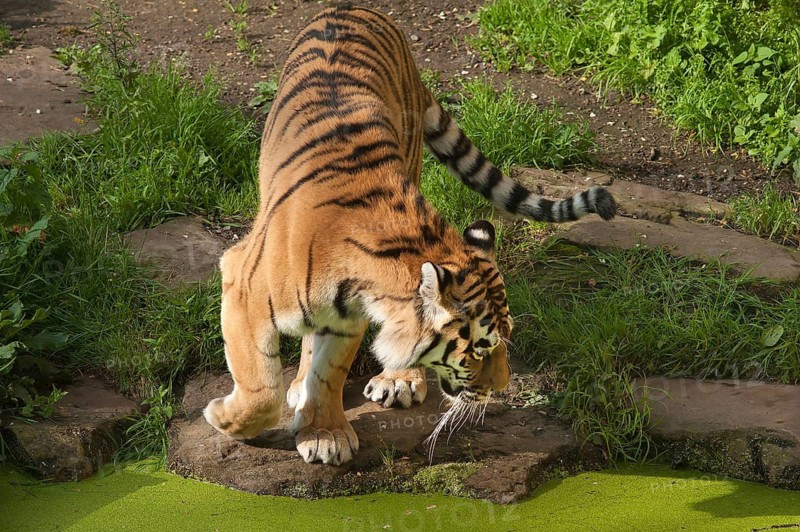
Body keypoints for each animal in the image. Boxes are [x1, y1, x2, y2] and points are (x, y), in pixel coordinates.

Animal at [204, 5, 616, 465]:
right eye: (479, 348)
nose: (503, 387)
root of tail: (354, 8)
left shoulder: (345, 320)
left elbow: (330, 374)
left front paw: (324, 432)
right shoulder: (244, 285)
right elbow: (260, 385)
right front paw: (225, 417)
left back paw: (397, 379)